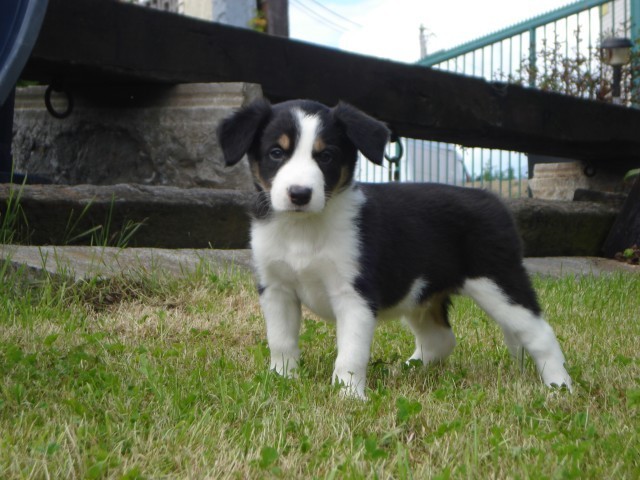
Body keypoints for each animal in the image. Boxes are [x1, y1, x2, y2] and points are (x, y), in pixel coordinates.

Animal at [217, 99, 572, 398]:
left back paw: (560, 387)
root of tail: (494, 200)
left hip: (499, 280)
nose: (300, 194)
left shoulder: (356, 295)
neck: (303, 230)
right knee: (441, 339)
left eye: (326, 155)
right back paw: (405, 370)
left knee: (540, 333)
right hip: (421, 295)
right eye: (276, 153)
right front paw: (282, 380)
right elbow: (281, 341)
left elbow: (351, 353)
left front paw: (349, 396)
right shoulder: (276, 289)